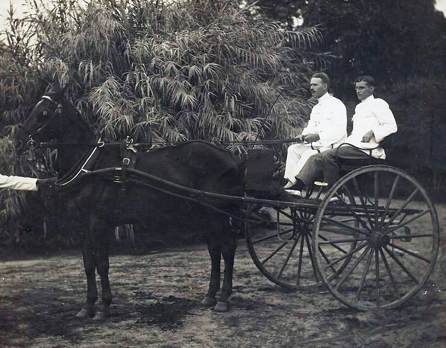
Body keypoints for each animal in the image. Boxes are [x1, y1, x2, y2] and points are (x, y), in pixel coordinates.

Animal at [14, 86, 244, 318]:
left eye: (44, 112)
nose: (18, 141)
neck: (91, 166)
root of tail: (230, 155)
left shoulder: (99, 223)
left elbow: (102, 263)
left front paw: (104, 306)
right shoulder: (84, 225)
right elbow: (88, 264)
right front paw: (88, 305)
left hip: (218, 212)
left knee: (228, 248)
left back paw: (223, 299)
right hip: (206, 213)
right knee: (214, 249)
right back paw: (210, 295)